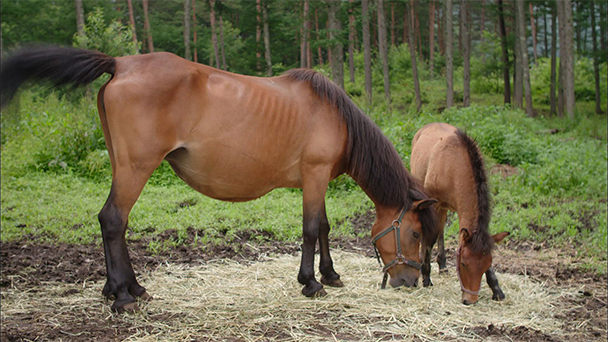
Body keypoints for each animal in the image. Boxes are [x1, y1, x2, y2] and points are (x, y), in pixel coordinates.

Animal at [0, 46, 436, 314]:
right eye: (415, 232)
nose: (410, 281)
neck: (335, 116)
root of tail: (121, 63)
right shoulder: (314, 176)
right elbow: (312, 229)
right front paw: (311, 283)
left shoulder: (319, 180)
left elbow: (325, 227)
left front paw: (330, 274)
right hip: (136, 168)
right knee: (112, 220)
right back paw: (124, 296)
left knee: (115, 225)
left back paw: (128, 288)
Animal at [408, 123, 508, 304]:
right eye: (463, 264)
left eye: (486, 264)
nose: (470, 299)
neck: (454, 167)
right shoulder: (434, 203)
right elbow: (429, 238)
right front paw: (425, 276)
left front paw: (496, 288)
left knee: (440, 228)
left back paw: (442, 264)